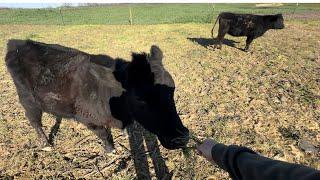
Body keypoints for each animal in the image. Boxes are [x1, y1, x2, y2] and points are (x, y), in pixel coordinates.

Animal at [5, 40, 190, 151]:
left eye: (172, 88)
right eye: (139, 98)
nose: (181, 138)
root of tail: (19, 43)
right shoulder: (88, 119)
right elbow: (104, 134)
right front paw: (111, 150)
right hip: (28, 99)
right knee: (34, 120)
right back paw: (46, 144)